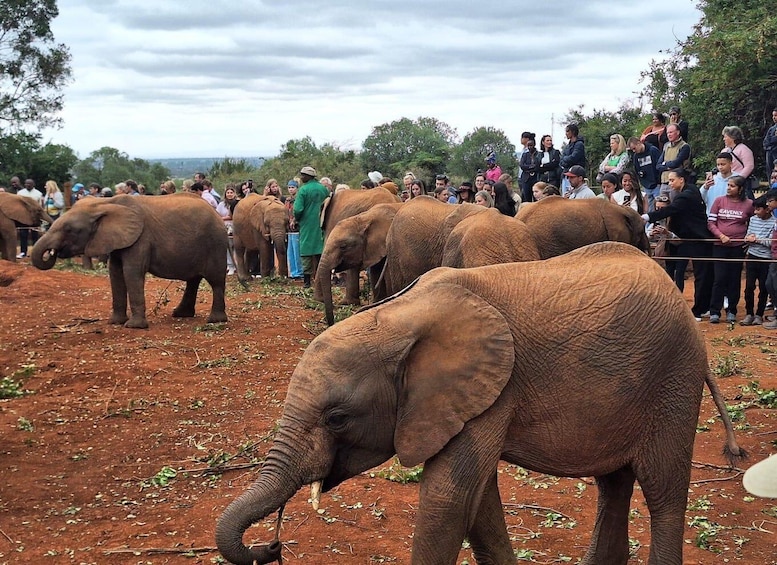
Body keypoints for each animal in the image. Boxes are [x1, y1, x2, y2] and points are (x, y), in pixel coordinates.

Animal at [31, 193, 228, 329]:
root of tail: (216, 213)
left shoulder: (140, 239)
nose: (52, 252)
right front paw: (115, 322)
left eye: (69, 229)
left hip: (215, 242)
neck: (104, 203)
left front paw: (134, 326)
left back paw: (215, 321)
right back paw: (181, 314)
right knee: (193, 280)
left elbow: (131, 272)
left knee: (216, 281)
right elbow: (115, 273)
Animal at [215, 242, 745, 565]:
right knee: (612, 483)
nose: (272, 546)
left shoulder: (492, 388)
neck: (401, 315)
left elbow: (449, 497)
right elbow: (478, 500)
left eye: (337, 418)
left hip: (674, 380)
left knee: (663, 490)